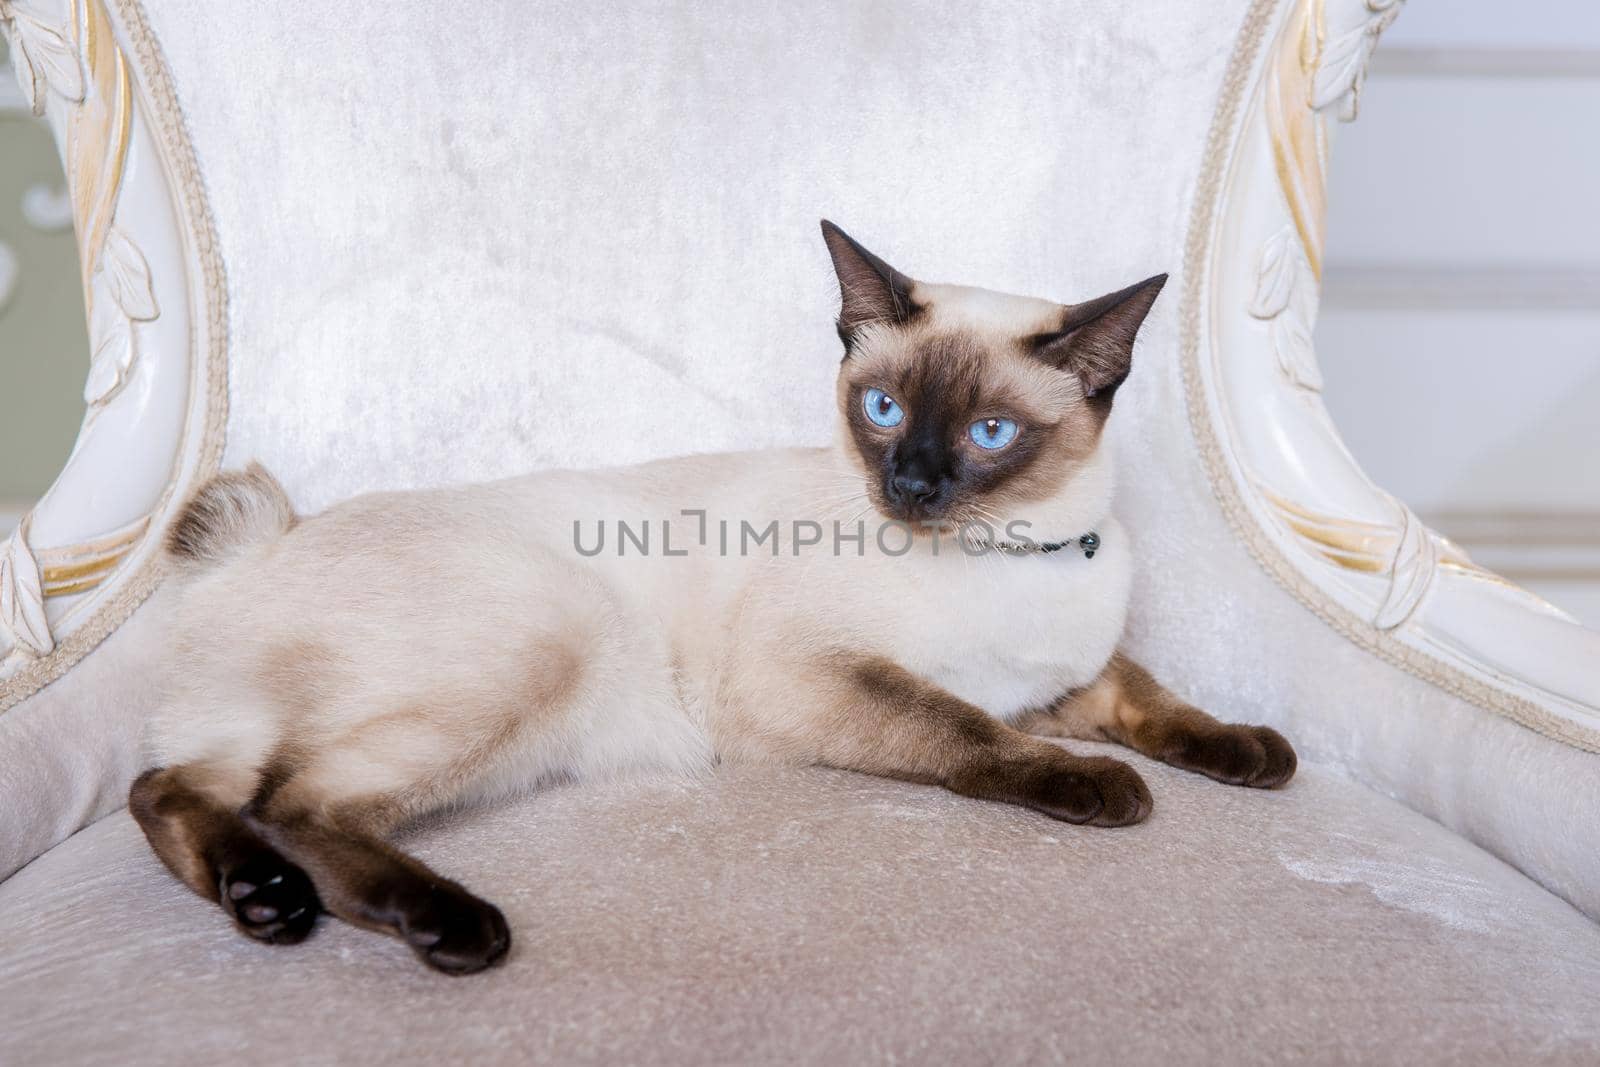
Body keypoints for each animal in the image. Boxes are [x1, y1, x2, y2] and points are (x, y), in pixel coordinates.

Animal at [131, 223, 1292, 979]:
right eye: (881, 409)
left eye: (989, 434)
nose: (910, 486)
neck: (1018, 556)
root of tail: (257, 544)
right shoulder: (823, 677)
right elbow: (967, 730)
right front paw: (1103, 787)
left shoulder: (1064, 678)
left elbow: (1158, 701)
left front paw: (1253, 754)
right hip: (550, 632)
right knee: (294, 798)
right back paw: (444, 927)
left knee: (175, 783)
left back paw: (263, 900)